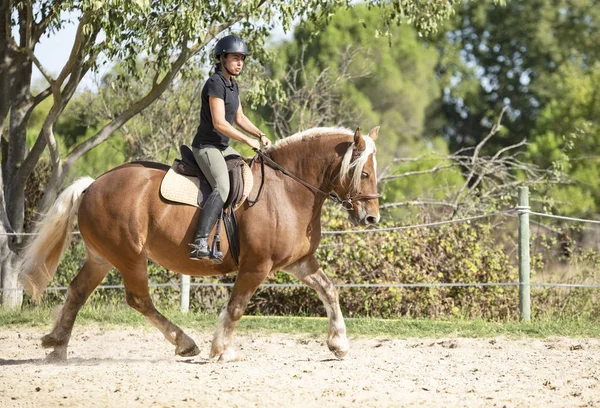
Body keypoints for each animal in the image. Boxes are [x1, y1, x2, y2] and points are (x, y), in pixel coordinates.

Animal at [19, 126, 380, 362]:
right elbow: (236, 307)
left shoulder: (298, 262)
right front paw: (222, 349)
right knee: (138, 300)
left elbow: (329, 290)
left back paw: (57, 346)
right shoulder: (257, 266)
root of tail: (92, 185)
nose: (371, 218)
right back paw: (184, 343)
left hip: (102, 257)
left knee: (78, 291)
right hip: (130, 256)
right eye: (363, 173)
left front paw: (339, 344)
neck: (287, 190)